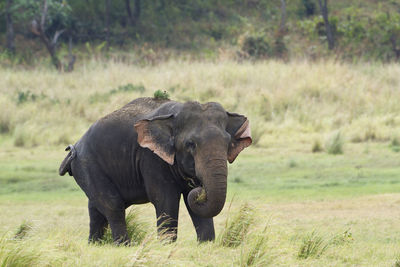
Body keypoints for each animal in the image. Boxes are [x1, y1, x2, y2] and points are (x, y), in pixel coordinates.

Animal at [58, 98, 253, 245]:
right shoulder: (152, 159)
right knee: (113, 205)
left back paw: (95, 245)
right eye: (190, 144)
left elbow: (194, 206)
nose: (200, 189)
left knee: (96, 209)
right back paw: (124, 246)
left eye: (228, 143)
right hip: (87, 165)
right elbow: (165, 199)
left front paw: (206, 244)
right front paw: (166, 246)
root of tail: (74, 148)